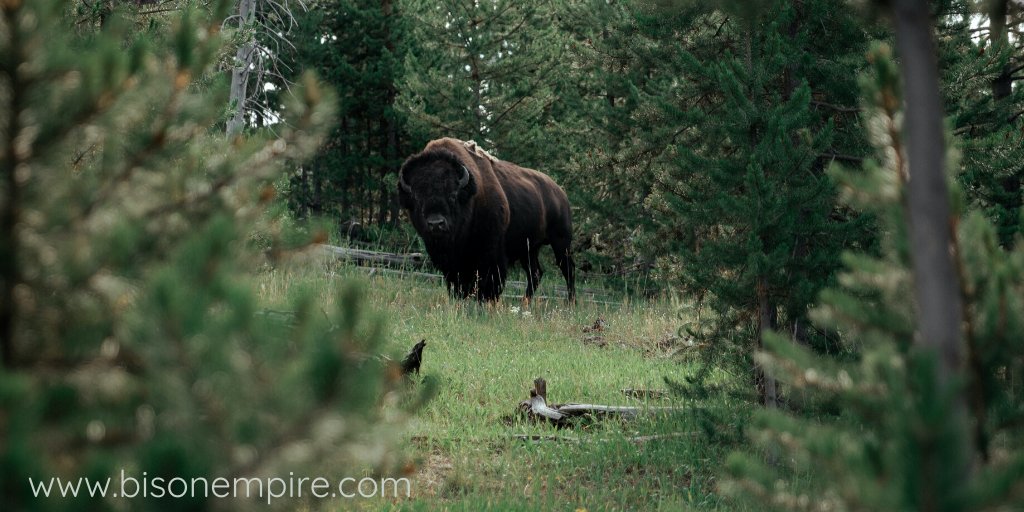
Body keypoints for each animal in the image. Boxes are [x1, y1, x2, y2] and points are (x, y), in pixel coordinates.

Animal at [398, 138, 575, 302]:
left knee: (568, 269)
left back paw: (571, 303)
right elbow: (457, 284)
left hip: (561, 241)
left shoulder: (492, 253)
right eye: (417, 198)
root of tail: (560, 192)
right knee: (536, 273)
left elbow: (490, 283)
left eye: (452, 195)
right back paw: (526, 302)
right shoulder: (452, 263)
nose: (436, 224)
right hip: (529, 249)